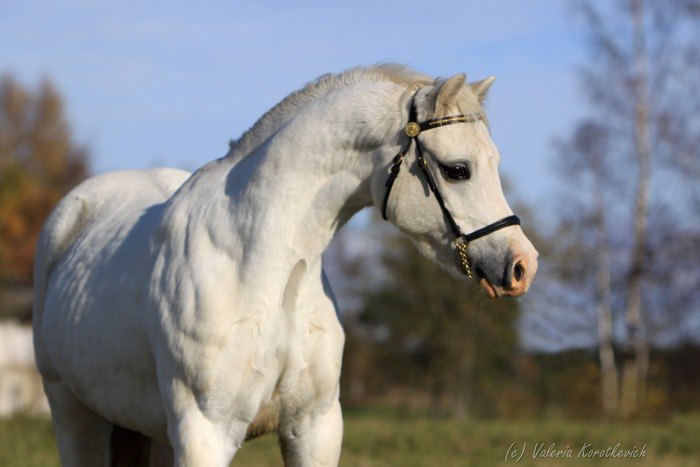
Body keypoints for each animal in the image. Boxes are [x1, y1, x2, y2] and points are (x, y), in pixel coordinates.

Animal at [31, 64, 536, 466]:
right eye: (457, 169)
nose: (522, 266)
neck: (265, 270)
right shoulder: (203, 432)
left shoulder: (316, 427)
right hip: (73, 412)